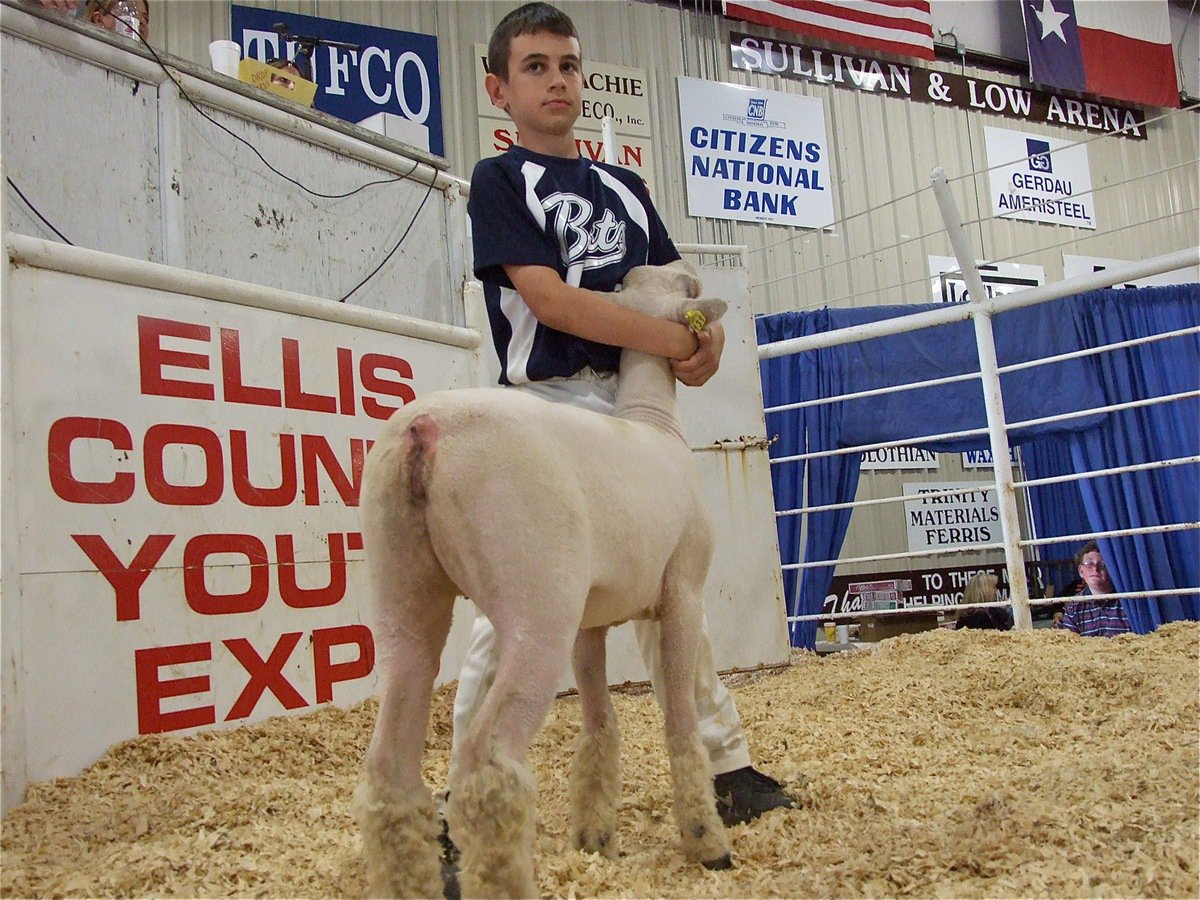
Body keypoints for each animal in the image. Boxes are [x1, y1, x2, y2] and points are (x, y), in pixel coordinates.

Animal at [350, 262, 729, 900]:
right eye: (687, 288)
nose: (689, 271)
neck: (650, 423)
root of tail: (424, 432)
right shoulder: (683, 592)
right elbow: (680, 720)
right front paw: (705, 839)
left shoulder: (590, 621)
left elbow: (600, 724)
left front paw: (595, 835)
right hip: (537, 602)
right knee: (488, 764)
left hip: (403, 586)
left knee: (390, 768)